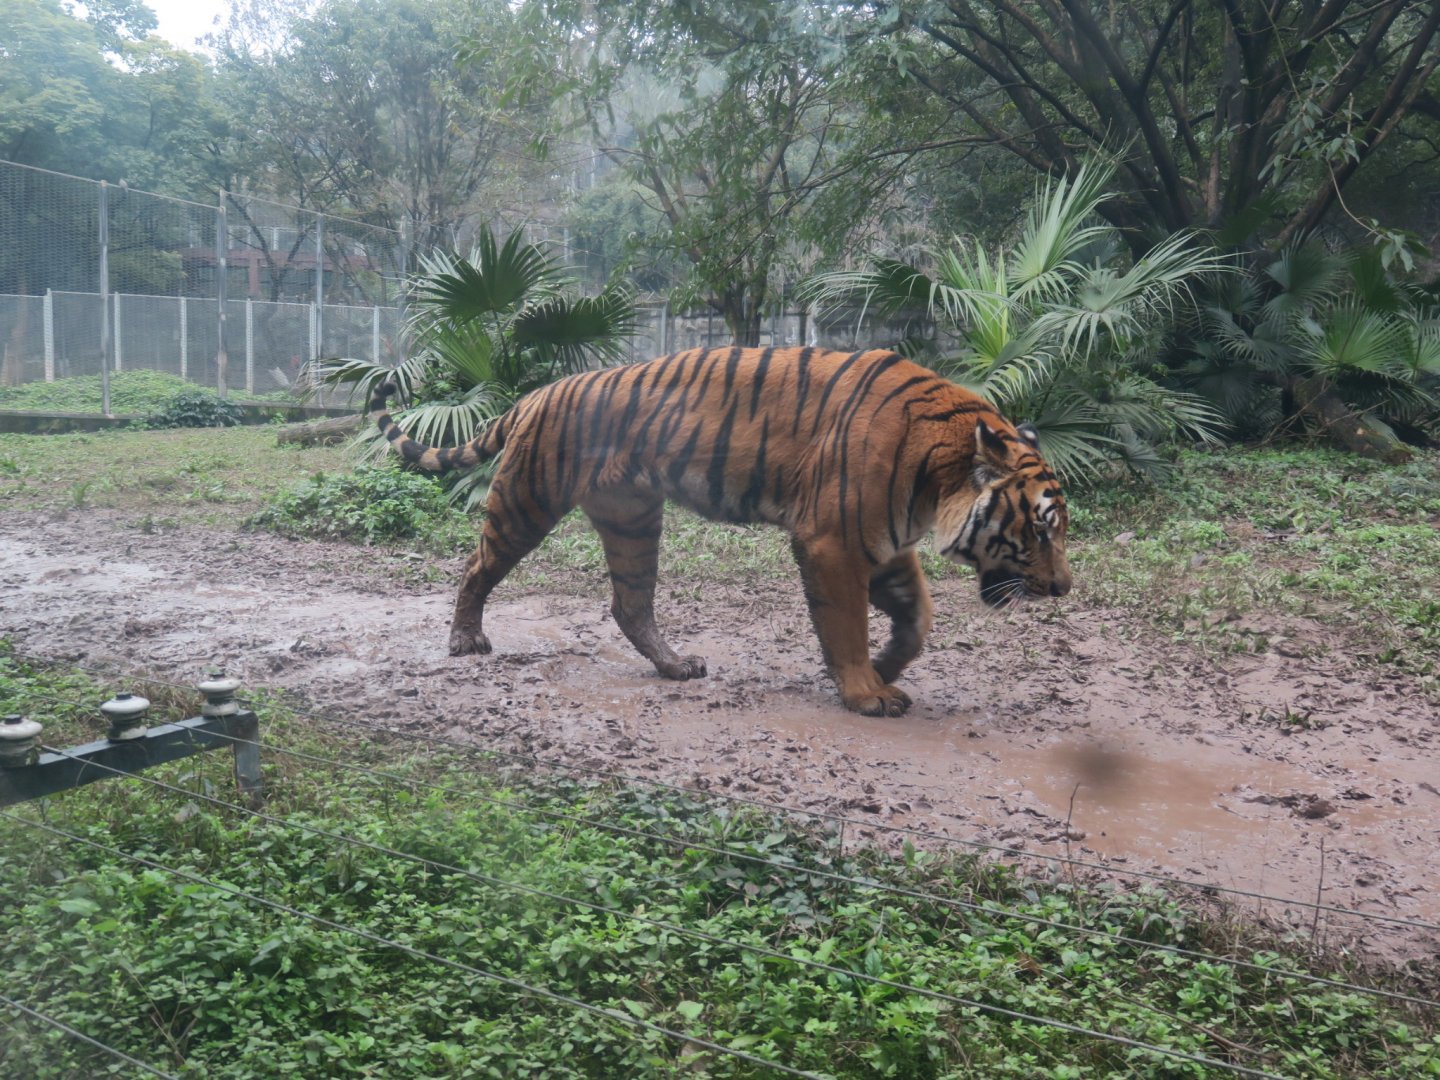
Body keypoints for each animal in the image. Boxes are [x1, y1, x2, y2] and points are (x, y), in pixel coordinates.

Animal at [369, 346, 1071, 716]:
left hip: (633, 521)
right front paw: (863, 691)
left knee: (629, 604)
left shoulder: (885, 542)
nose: (1063, 588)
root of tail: (536, 394)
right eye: (1040, 530)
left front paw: (886, 667)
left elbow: (918, 617)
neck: (936, 472)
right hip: (525, 502)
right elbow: (845, 624)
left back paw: (676, 666)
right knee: (476, 567)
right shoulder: (833, 540)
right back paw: (465, 639)